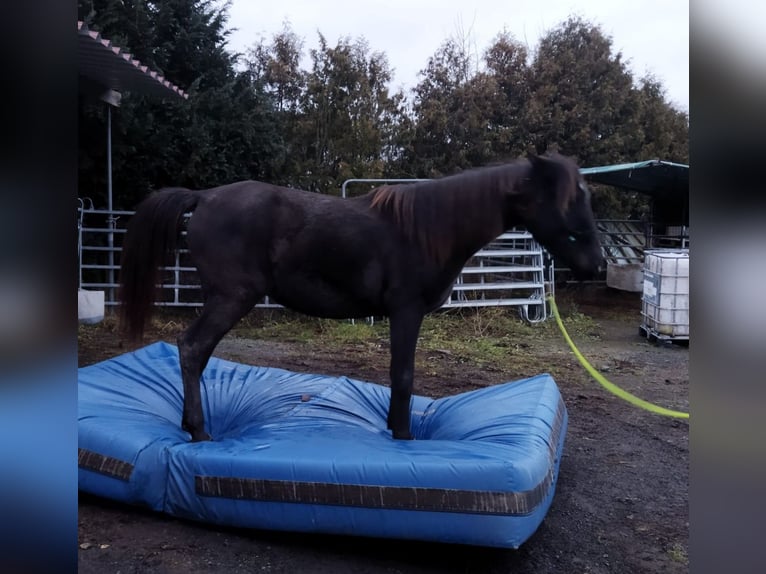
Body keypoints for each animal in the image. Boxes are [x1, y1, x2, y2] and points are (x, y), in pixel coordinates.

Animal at [120, 152, 608, 440]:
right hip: (231, 298)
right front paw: (403, 438)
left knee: (195, 353)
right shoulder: (406, 312)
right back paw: (201, 435)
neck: (426, 229)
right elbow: (403, 377)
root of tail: (204, 198)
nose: (597, 265)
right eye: (567, 200)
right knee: (192, 348)